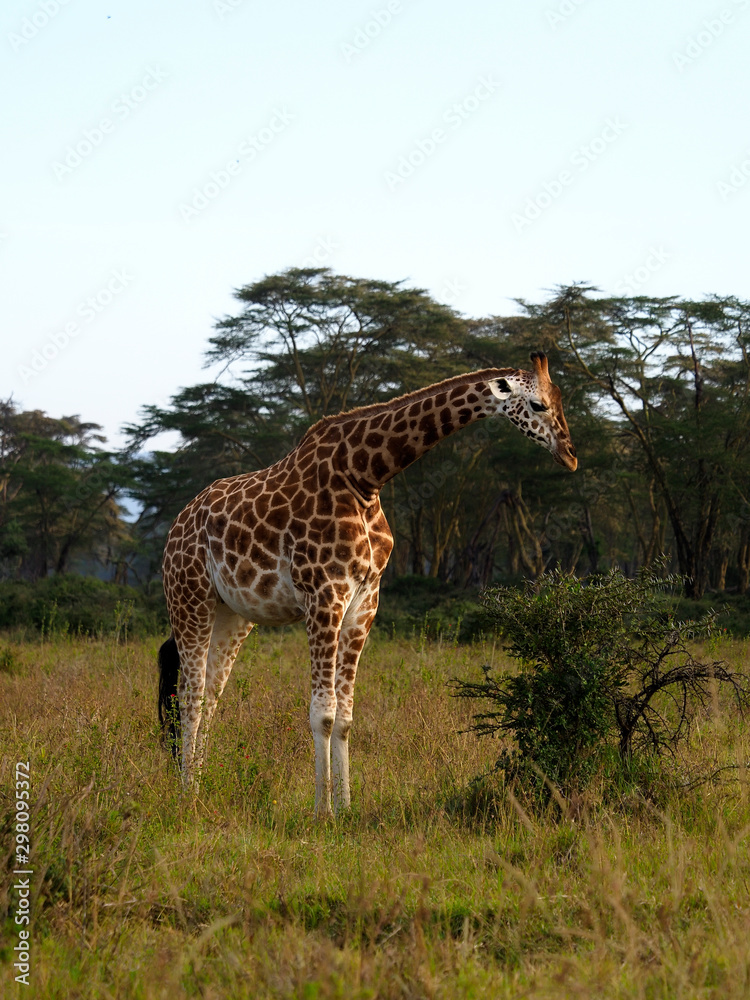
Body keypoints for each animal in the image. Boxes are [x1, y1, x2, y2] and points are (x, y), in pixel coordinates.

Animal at [158, 352, 577, 818]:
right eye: (538, 405)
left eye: (561, 400)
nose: (570, 456)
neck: (364, 476)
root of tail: (176, 526)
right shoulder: (324, 594)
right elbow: (322, 712)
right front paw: (321, 812)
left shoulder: (365, 600)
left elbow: (345, 716)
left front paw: (346, 807)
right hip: (189, 599)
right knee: (188, 696)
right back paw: (186, 795)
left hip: (232, 615)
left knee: (211, 697)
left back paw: (201, 786)